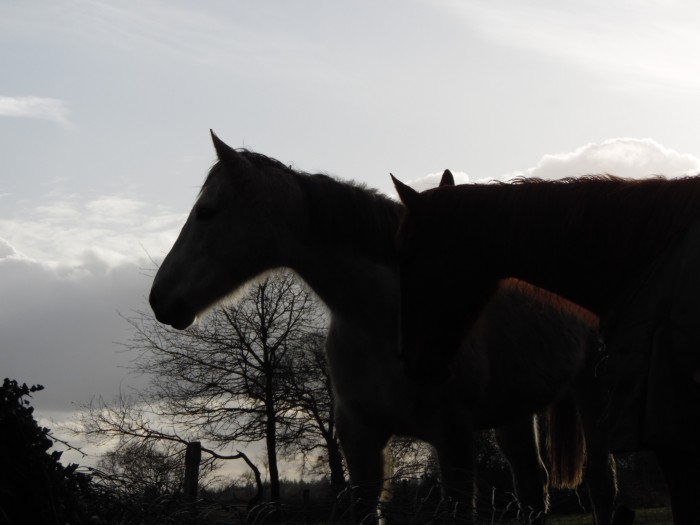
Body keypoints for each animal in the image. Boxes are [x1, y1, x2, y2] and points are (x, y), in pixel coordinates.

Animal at [149, 133, 616, 520]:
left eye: (206, 212)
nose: (160, 299)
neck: (381, 320)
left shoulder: (453, 439)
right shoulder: (360, 443)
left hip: (592, 391)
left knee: (601, 484)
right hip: (515, 412)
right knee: (532, 485)